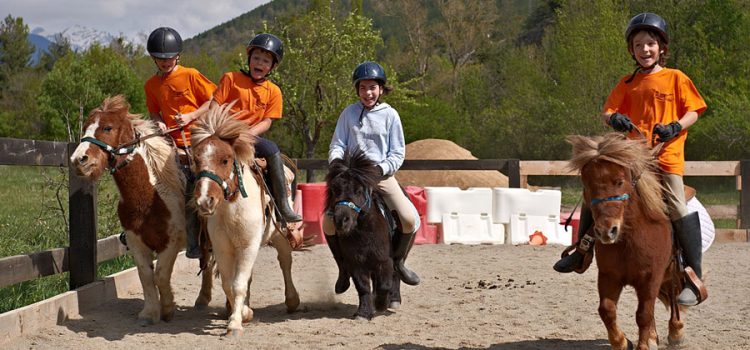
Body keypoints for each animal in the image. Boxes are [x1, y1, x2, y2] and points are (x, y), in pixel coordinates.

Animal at [69, 95, 213, 326]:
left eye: (108, 127)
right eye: (85, 128)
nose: (79, 160)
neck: (149, 194)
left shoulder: (170, 243)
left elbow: (161, 275)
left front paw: (167, 309)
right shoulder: (136, 241)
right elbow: (146, 276)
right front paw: (150, 313)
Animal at [189, 102, 302, 336]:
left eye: (225, 159)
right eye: (196, 160)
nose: (204, 201)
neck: (233, 207)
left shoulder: (248, 245)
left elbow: (238, 284)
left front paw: (235, 323)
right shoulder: (223, 247)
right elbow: (229, 284)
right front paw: (242, 313)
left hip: (278, 235)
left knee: (285, 261)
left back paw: (292, 300)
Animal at [326, 150, 402, 320]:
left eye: (358, 190)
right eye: (334, 190)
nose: (341, 220)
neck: (365, 232)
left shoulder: (384, 261)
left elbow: (384, 284)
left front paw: (380, 305)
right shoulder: (356, 263)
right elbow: (363, 288)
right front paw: (363, 313)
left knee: (397, 271)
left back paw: (394, 300)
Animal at [568, 133, 688, 350]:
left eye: (619, 181)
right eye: (586, 185)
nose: (606, 231)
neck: (631, 239)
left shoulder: (651, 277)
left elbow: (643, 315)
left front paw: (643, 345)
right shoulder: (609, 276)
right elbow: (607, 310)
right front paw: (623, 342)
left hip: (671, 271)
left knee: (673, 297)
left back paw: (676, 331)